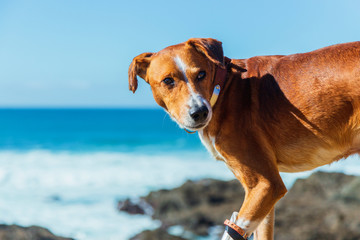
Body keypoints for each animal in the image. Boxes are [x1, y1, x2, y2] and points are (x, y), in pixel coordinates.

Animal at [128, 38, 358, 239]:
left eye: (201, 74)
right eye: (168, 81)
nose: (200, 112)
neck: (222, 88)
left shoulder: (265, 185)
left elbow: (233, 231)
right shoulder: (261, 193)